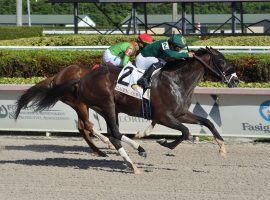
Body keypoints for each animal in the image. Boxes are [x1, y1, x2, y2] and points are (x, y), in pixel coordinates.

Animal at [26, 47, 239, 173]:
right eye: (221, 61)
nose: (236, 80)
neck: (176, 80)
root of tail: (80, 80)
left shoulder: (181, 113)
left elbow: (207, 122)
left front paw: (222, 148)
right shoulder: (164, 116)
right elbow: (185, 132)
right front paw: (165, 143)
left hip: (106, 108)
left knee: (107, 132)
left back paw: (133, 154)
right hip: (105, 104)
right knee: (109, 132)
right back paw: (133, 159)